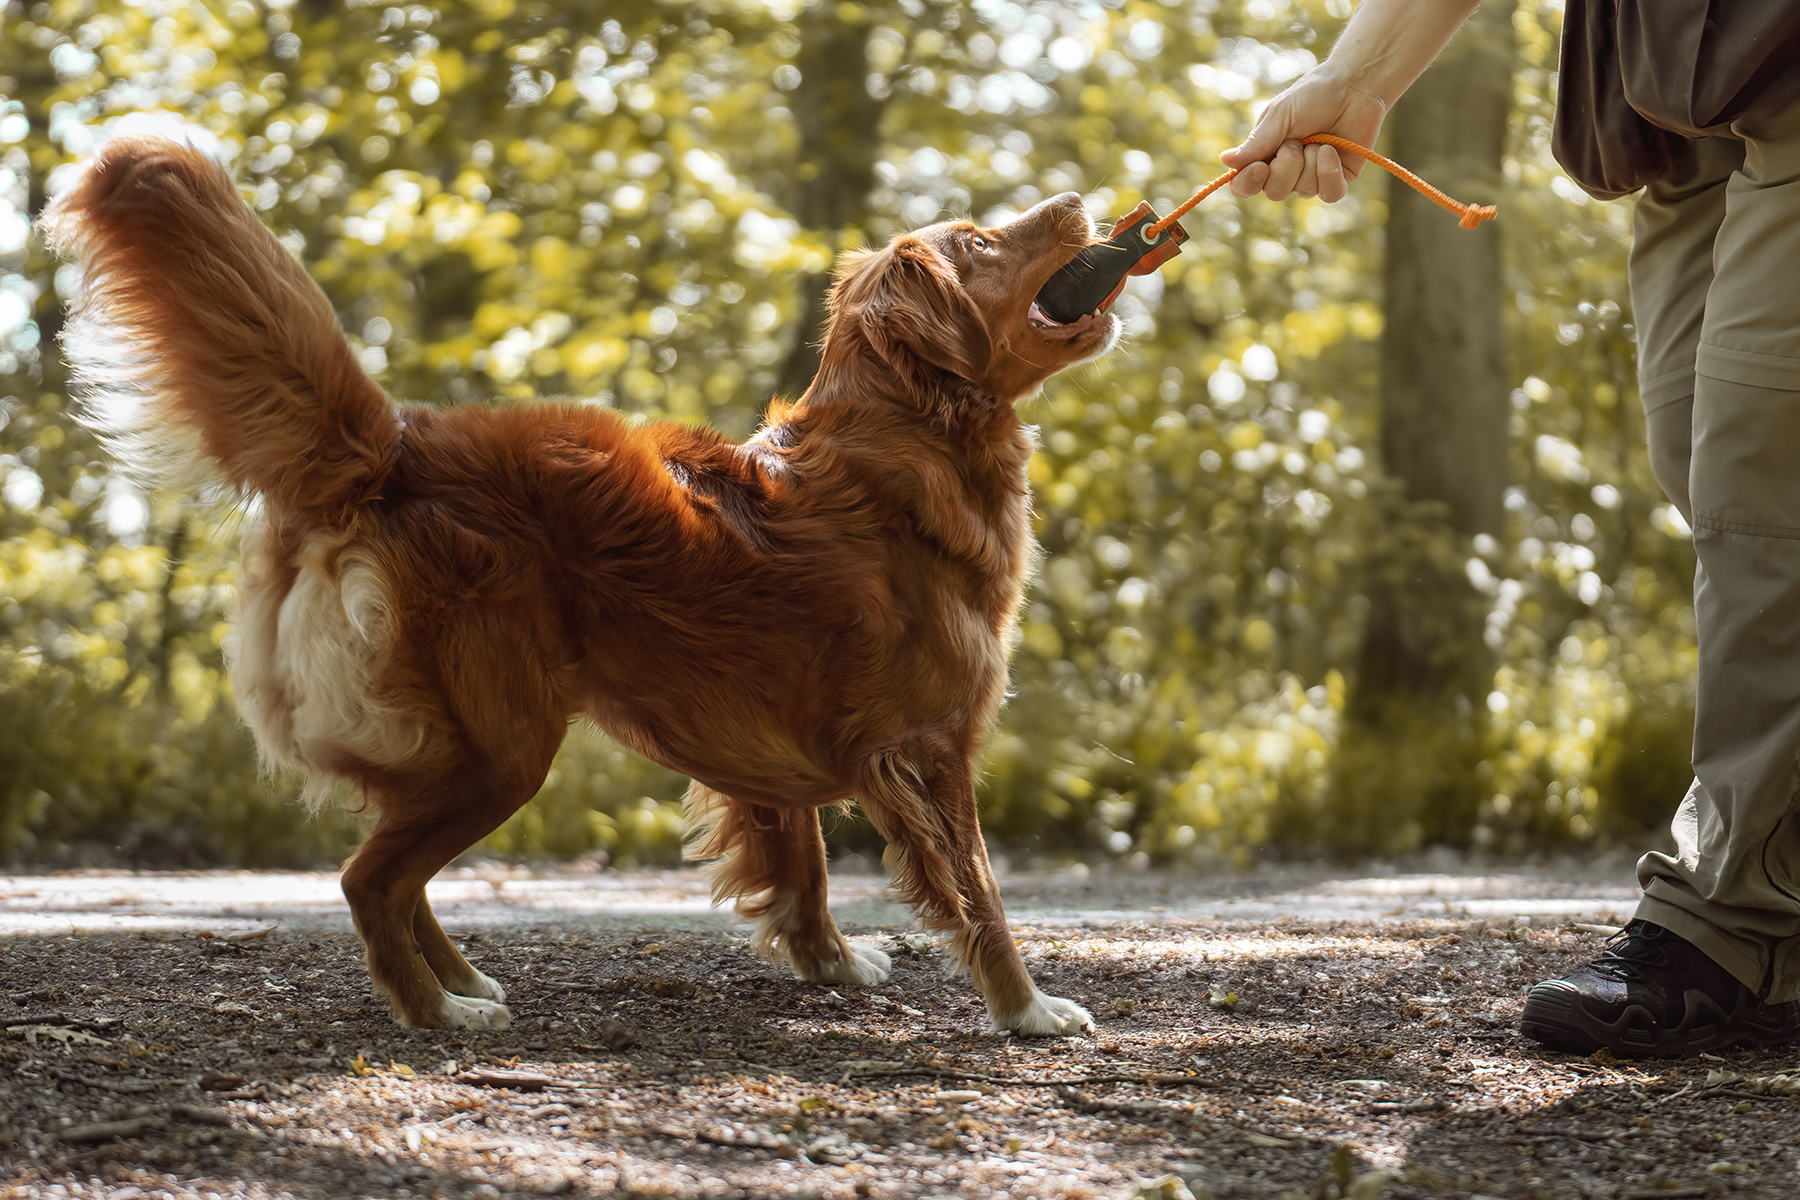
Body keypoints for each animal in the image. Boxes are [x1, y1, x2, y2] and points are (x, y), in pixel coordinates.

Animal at [38, 131, 1108, 1036]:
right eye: (979, 242)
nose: (1077, 196)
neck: (905, 439)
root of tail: (394, 447)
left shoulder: (776, 739)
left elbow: (800, 863)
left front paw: (829, 963)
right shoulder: (930, 750)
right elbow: (978, 893)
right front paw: (1027, 1009)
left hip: (453, 748)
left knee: (397, 872)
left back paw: (462, 981)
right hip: (502, 748)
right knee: (368, 879)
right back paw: (437, 1012)